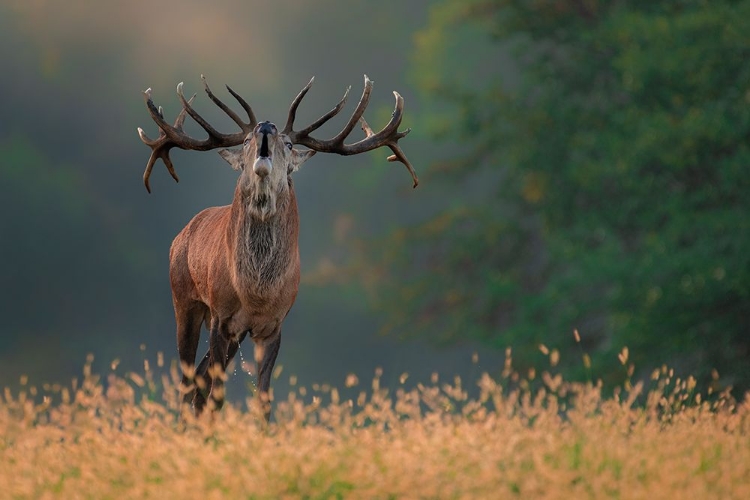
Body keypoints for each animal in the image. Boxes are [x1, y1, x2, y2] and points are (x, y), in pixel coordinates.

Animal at [138, 75, 420, 418]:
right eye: (246, 141)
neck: (256, 293)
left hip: (232, 331)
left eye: (288, 144)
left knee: (199, 383)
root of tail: (181, 234)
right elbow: (217, 394)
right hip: (184, 299)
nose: (266, 126)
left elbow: (263, 400)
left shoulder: (273, 324)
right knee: (188, 383)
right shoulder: (221, 315)